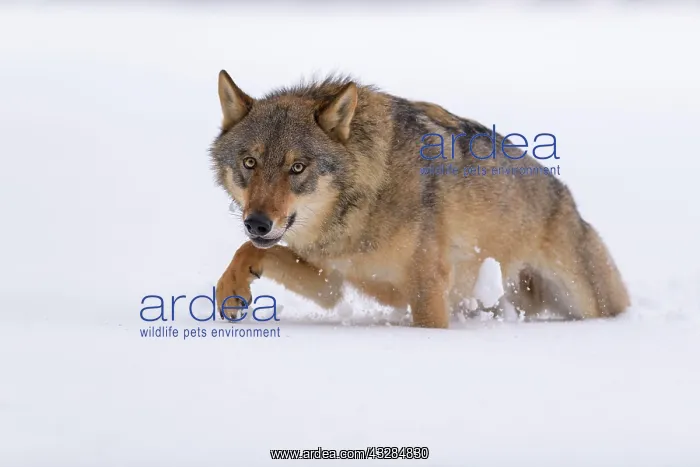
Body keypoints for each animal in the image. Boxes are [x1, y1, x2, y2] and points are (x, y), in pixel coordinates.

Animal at [209, 70, 630, 328]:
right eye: (250, 163)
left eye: (297, 167)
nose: (257, 222)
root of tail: (570, 201)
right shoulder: (331, 282)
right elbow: (249, 250)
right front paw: (230, 291)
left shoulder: (427, 289)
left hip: (585, 299)